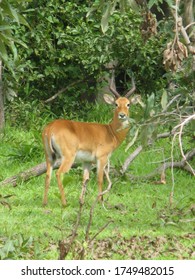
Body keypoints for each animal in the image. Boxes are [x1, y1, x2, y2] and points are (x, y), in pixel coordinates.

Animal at [42, 71, 136, 206]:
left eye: (128, 104)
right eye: (116, 104)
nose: (122, 115)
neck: (111, 132)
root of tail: (51, 128)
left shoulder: (86, 161)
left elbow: (85, 179)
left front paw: (81, 201)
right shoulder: (101, 158)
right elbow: (100, 179)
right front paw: (100, 200)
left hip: (50, 156)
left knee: (47, 175)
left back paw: (45, 203)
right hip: (68, 157)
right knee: (59, 173)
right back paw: (65, 203)